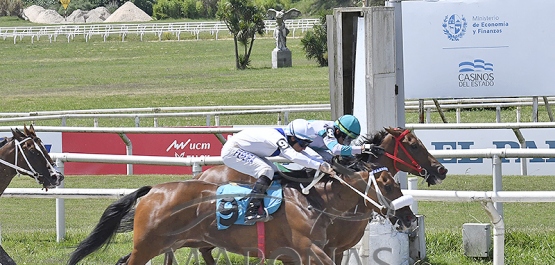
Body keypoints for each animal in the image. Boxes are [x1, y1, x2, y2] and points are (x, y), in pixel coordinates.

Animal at [67, 162, 414, 262]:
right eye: (388, 185)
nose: (409, 219)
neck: (317, 202)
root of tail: (153, 190)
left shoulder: (302, 253)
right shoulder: (307, 248)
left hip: (166, 244)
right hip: (148, 245)